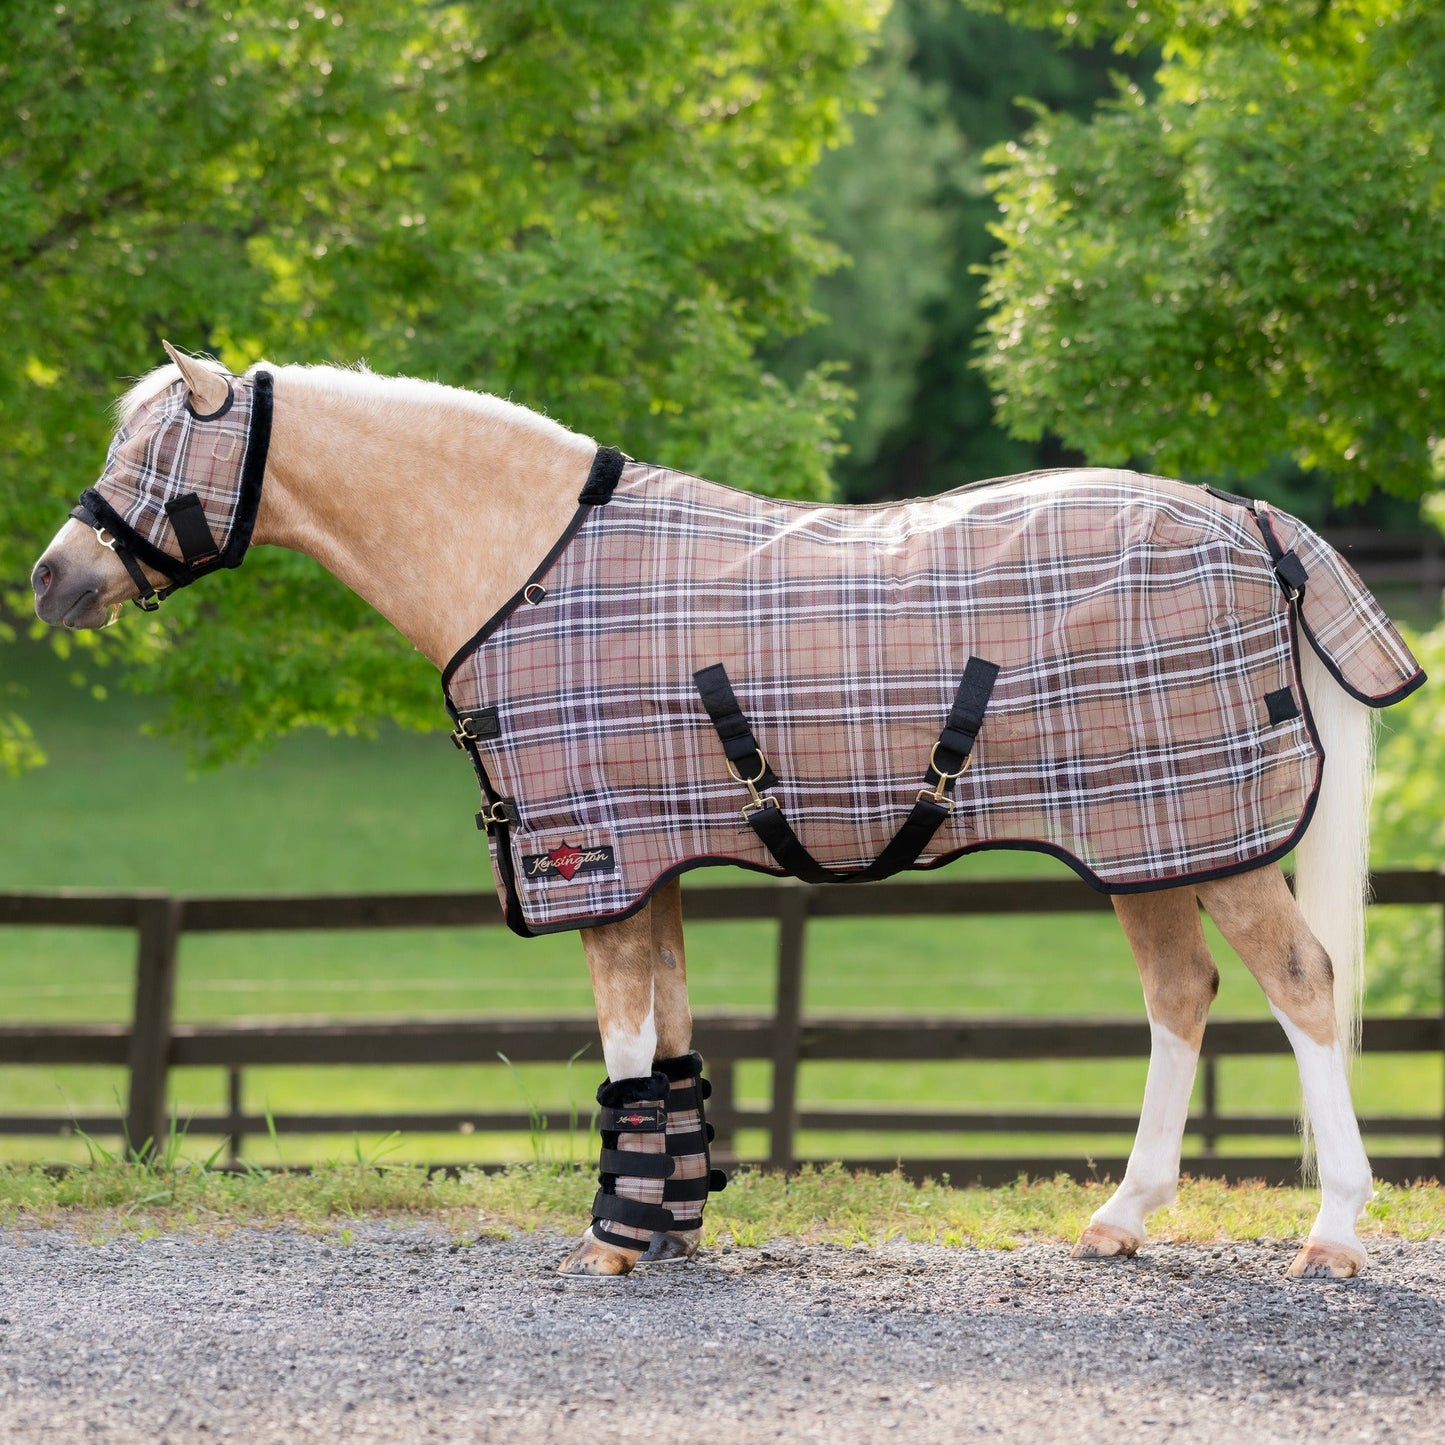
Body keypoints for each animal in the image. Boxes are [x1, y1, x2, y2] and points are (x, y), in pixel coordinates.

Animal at [30, 344, 1424, 1281]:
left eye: (150, 457)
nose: (52, 578)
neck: (523, 566)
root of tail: (1247, 519)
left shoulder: (592, 858)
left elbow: (622, 1048)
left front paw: (613, 1239)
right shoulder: (648, 862)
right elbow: (672, 1043)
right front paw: (670, 1223)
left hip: (1206, 841)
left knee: (1300, 985)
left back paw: (1332, 1229)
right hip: (1146, 841)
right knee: (1179, 996)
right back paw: (1121, 1217)